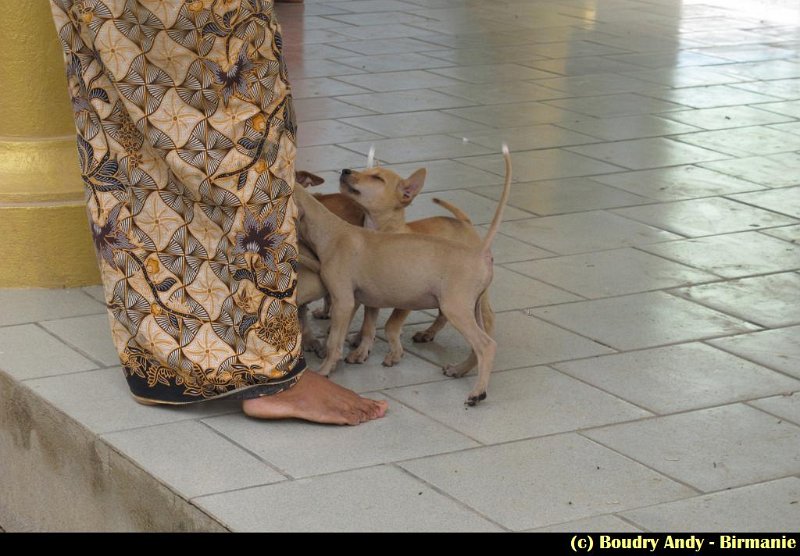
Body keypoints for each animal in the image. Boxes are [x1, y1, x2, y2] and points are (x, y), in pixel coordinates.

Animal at [338, 167, 494, 372]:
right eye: (365, 170)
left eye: (377, 178)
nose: (345, 170)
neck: (382, 231)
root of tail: (465, 223)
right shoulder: (372, 296)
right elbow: (369, 326)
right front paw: (362, 350)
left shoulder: (408, 300)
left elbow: (391, 325)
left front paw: (394, 353)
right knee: (444, 315)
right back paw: (428, 333)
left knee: (486, 320)